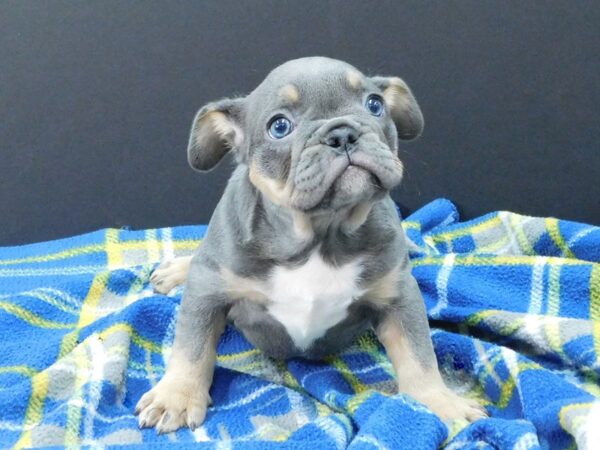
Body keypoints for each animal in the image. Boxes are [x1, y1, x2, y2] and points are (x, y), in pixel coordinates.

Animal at [136, 56, 488, 432]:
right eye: (279, 127)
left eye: (375, 105)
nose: (342, 133)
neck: (321, 237)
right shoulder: (207, 289)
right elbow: (192, 344)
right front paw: (176, 395)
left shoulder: (398, 295)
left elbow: (418, 352)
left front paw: (438, 401)